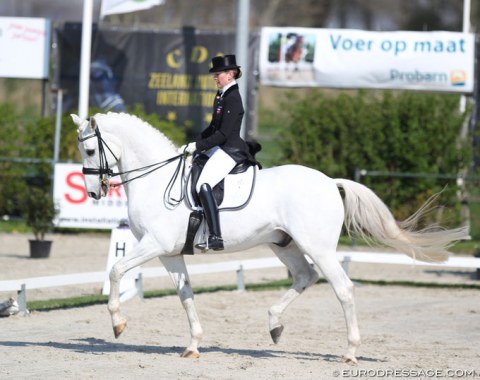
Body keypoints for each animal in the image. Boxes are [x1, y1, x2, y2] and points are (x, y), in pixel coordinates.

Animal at [72, 111, 468, 364]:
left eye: (90, 150)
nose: (92, 192)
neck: (156, 180)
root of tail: (330, 182)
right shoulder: (170, 252)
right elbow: (185, 295)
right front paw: (194, 345)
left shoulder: (153, 244)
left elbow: (116, 271)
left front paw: (118, 323)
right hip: (284, 244)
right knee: (305, 276)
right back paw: (275, 325)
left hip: (317, 247)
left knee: (342, 288)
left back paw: (350, 352)